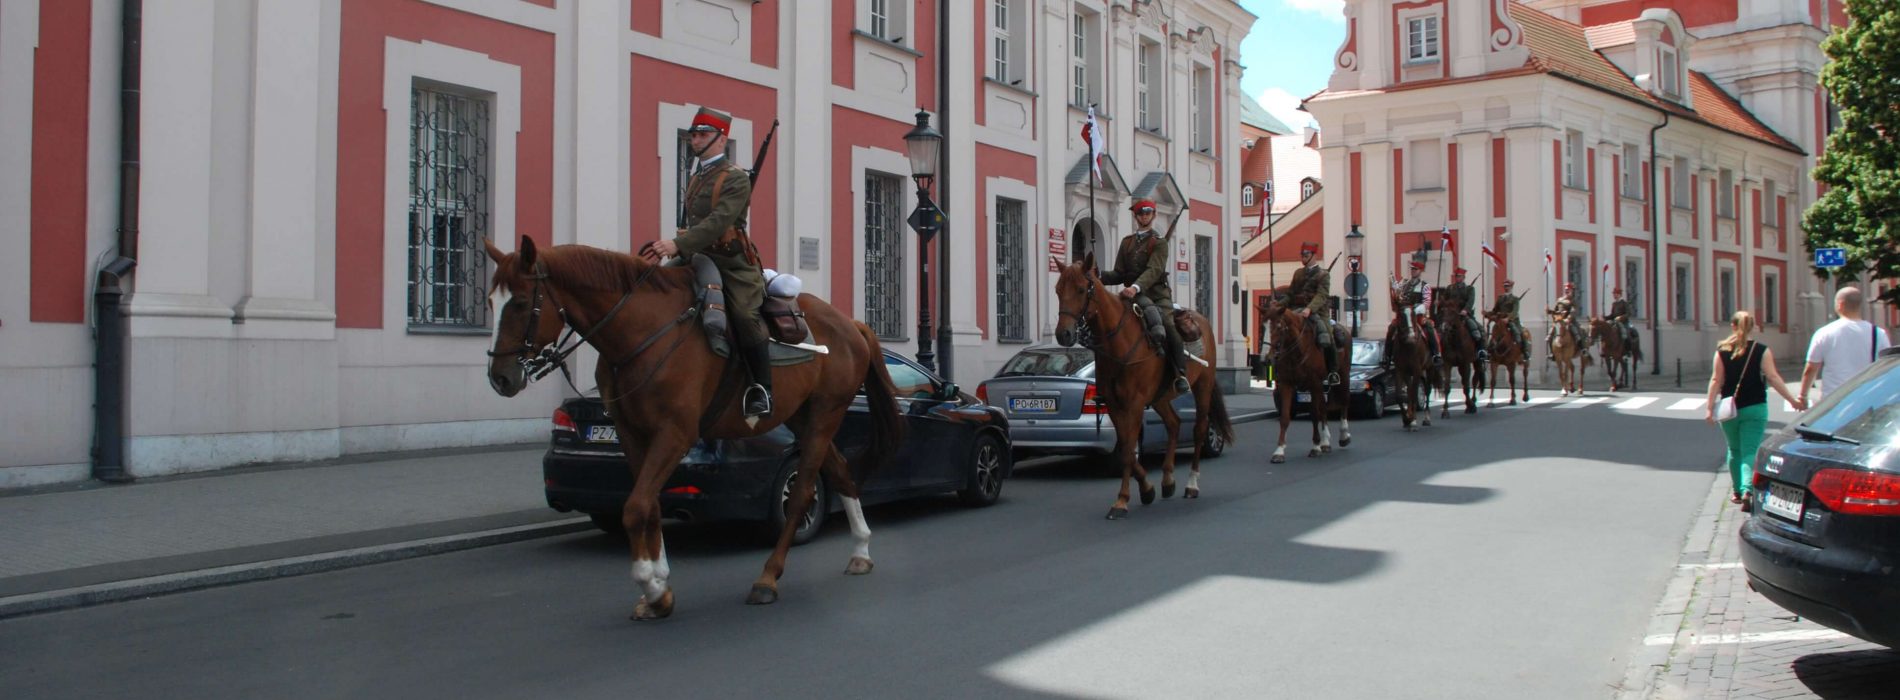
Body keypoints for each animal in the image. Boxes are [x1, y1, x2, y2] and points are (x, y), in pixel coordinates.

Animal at [486, 237, 908, 620]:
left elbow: (635, 507)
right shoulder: (633, 434)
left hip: (824, 415)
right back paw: (860, 551)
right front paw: (660, 582)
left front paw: (652, 587)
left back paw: (768, 578)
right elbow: (648, 504)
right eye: (490, 302)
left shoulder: (675, 434)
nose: (500, 378)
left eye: (520, 302)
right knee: (841, 472)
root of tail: (850, 322)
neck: (643, 330)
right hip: (802, 417)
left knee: (803, 493)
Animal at [1056, 254, 1231, 521]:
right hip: (1160, 397)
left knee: (1199, 429)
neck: (1118, 343)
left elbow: (1129, 449)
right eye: (1057, 290)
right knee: (1173, 424)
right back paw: (1168, 481)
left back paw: (1191, 484)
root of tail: (1202, 320)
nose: (1063, 334)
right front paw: (1146, 490)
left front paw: (1122, 501)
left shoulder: (1135, 405)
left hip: (1203, 386)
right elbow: (1126, 448)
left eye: (1080, 290)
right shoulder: (1115, 405)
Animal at [1261, 294, 1352, 464]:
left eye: (1279, 327)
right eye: (1262, 327)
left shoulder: (1313, 383)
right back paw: (1326, 442)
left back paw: (1344, 436)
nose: (1267, 359)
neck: (1296, 351)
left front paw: (1315, 447)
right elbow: (1285, 417)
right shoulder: (1287, 384)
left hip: (1343, 375)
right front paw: (1279, 451)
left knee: (1344, 401)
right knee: (1324, 406)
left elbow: (1314, 414)